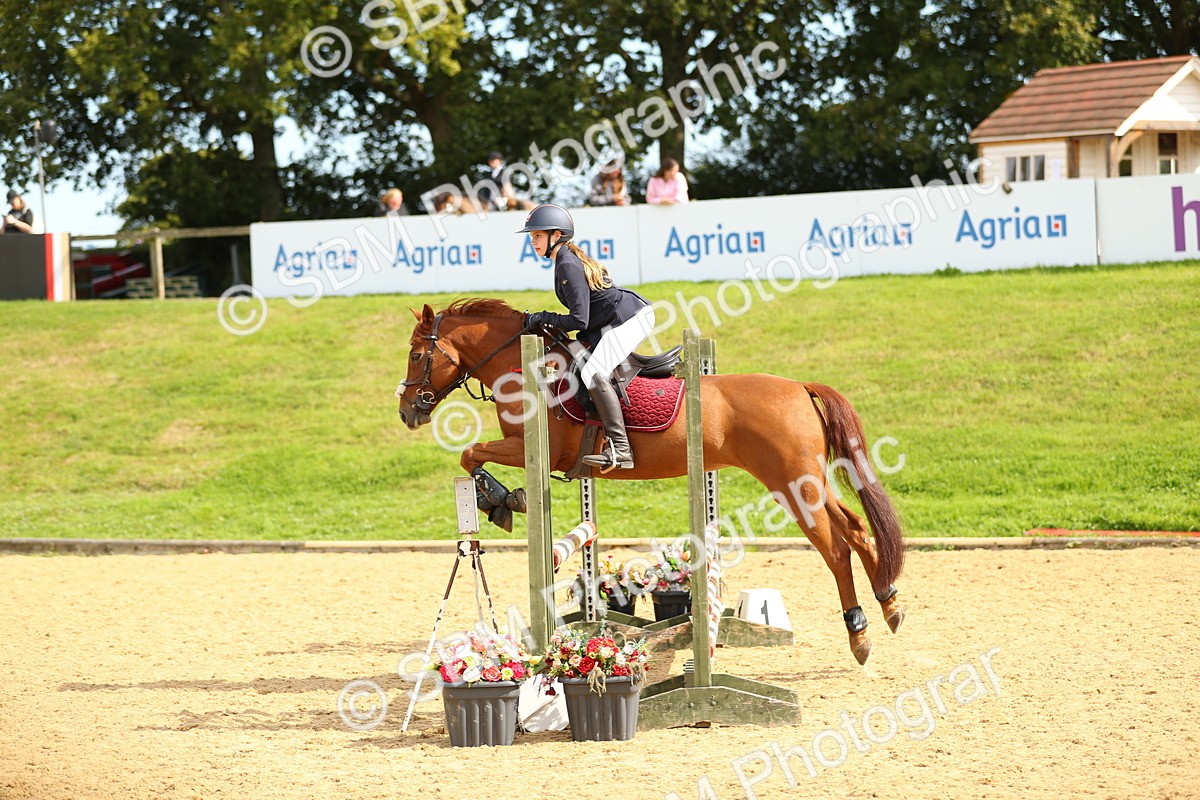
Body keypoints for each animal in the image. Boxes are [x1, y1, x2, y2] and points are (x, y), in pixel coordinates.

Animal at [397, 298, 907, 665]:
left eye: (418, 355)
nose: (407, 412)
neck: (522, 370)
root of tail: (800, 387)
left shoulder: (532, 447)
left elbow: (470, 453)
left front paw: (501, 499)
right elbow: (470, 455)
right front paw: (502, 500)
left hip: (792, 485)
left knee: (836, 550)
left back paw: (860, 634)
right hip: (810, 482)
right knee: (856, 528)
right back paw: (890, 604)